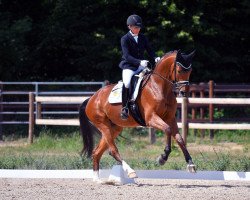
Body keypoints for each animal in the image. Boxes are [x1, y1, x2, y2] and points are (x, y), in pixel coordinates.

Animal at [79, 49, 196, 182]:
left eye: (190, 71)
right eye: (179, 70)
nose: (184, 92)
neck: (159, 87)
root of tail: (91, 98)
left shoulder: (170, 118)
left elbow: (180, 138)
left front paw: (190, 164)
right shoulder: (151, 118)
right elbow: (167, 129)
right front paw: (163, 157)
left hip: (114, 128)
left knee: (97, 152)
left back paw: (97, 180)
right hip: (103, 125)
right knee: (112, 150)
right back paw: (130, 172)